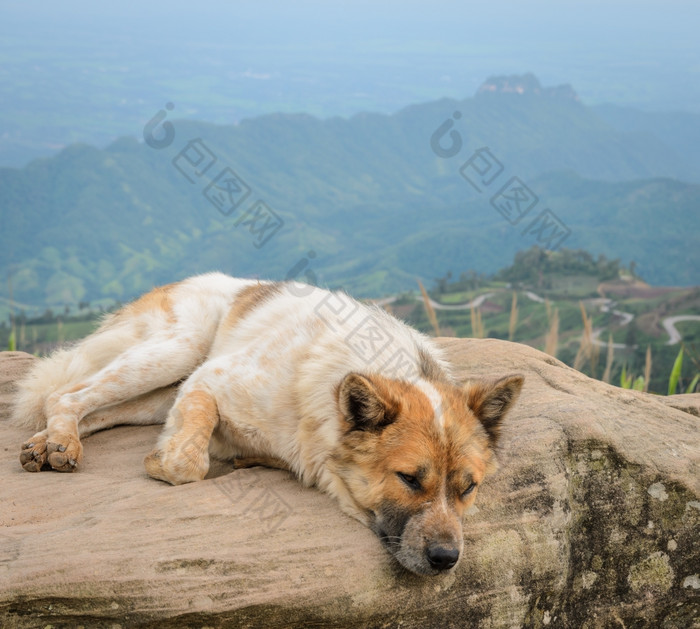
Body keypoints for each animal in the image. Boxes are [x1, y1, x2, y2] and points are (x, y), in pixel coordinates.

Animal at [13, 272, 524, 576]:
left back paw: (45, 444)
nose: (446, 560)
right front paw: (169, 460)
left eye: (468, 487)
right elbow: (186, 462)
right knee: (66, 393)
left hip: (158, 392)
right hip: (177, 352)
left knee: (85, 406)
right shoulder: (209, 380)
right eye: (409, 479)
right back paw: (62, 444)